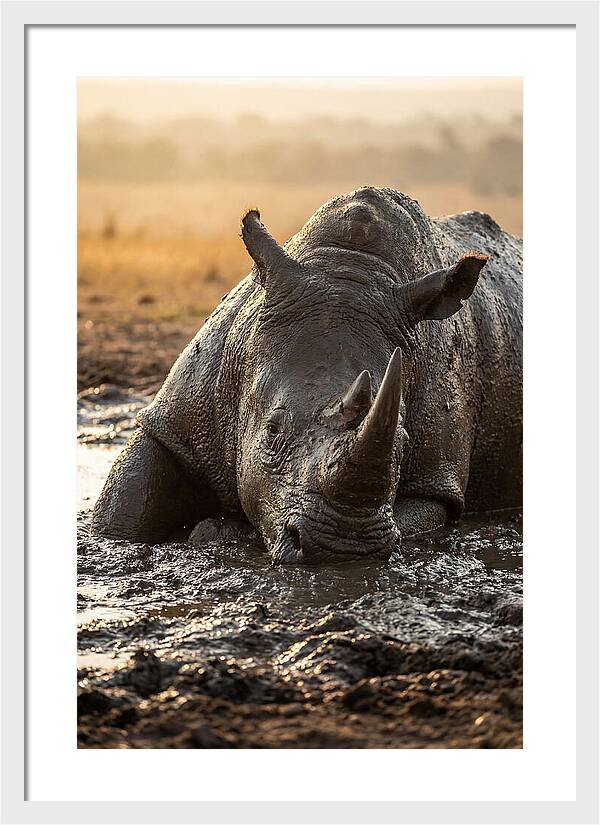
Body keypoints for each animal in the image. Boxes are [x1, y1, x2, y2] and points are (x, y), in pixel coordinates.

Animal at [92, 187, 522, 563]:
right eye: (272, 431)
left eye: (403, 441)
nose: (343, 547)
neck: (349, 267)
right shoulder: (176, 419)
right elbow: (123, 511)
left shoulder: (437, 481)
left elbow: (421, 514)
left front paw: (218, 532)